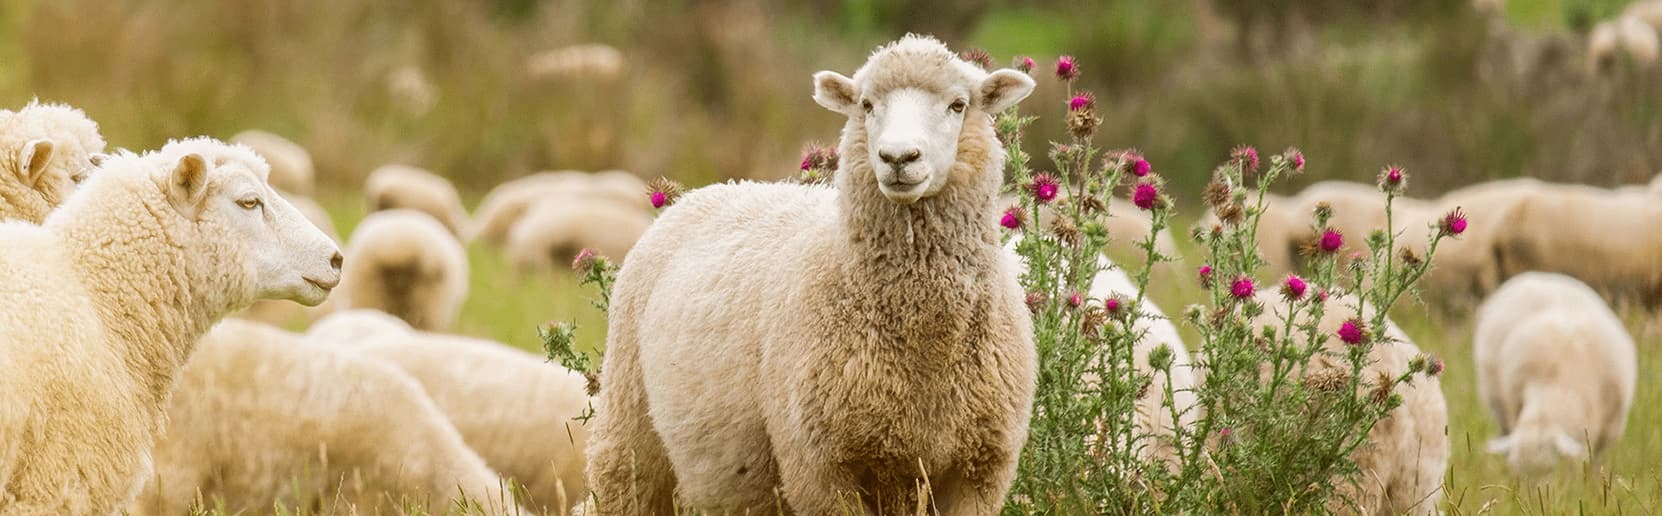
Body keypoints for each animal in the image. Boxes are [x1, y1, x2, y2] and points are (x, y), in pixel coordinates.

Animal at [585, 35, 1038, 514]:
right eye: (866, 104)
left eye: (958, 105)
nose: (898, 157)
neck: (925, 345)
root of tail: (715, 188)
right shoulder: (819, 467)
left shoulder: (981, 469)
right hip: (628, 430)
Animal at [1474, 272, 1637, 478]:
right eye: (1515, 471)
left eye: (1549, 468)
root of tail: (1539, 275)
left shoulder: (1607, 431)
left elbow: (1593, 462)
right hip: (1499, 407)